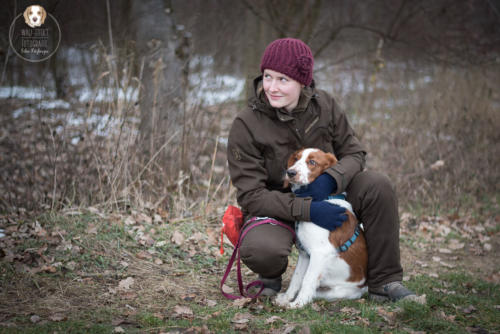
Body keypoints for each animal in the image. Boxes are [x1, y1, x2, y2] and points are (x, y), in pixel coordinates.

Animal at [274, 149, 368, 308]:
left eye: (312, 162)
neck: (321, 200)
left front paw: (297, 304)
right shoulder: (305, 254)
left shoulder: (320, 252)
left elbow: (307, 280)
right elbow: (296, 278)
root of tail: (364, 287)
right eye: (296, 159)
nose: (290, 172)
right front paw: (287, 298)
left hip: (339, 292)